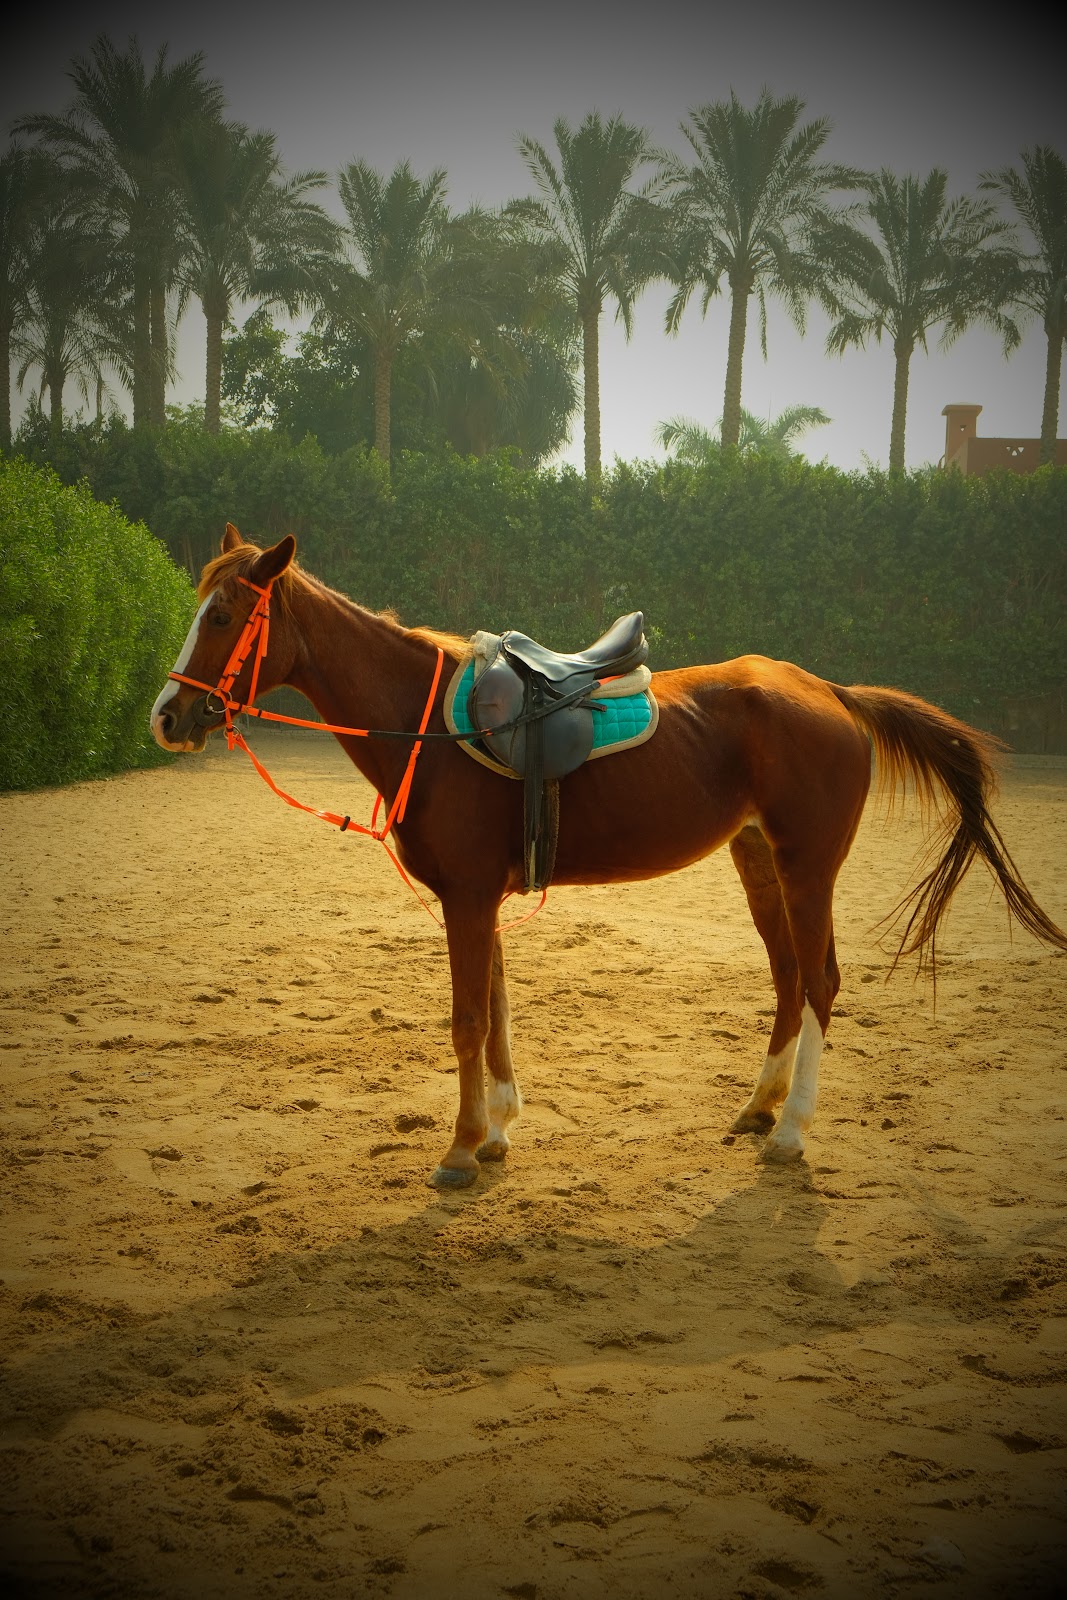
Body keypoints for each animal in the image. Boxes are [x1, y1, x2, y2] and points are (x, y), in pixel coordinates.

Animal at [150, 525, 1067, 1189]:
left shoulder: (467, 897)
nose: (166, 715)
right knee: (788, 978)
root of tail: (832, 695)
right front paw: (497, 1129)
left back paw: (791, 1134)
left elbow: (468, 1019)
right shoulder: (478, 898)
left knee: (821, 983)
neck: (428, 724)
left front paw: (460, 1149)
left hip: (808, 867)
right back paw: (759, 1110)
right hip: (759, 862)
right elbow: (498, 1011)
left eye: (223, 616)